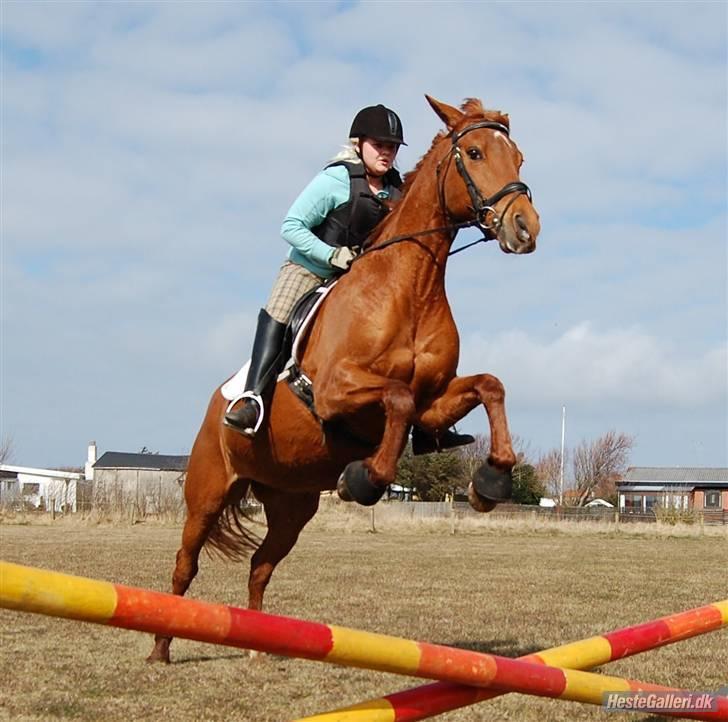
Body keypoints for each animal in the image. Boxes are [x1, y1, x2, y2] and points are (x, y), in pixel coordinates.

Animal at [148, 97, 540, 664]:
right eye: (474, 153)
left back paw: (257, 646)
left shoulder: (434, 401)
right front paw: (366, 478)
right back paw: (160, 649)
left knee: (261, 565)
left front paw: (491, 482)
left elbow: (489, 385)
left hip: (291, 503)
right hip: (208, 492)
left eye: (520, 157)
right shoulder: (336, 393)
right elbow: (396, 398)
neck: (410, 286)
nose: (526, 228)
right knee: (186, 563)